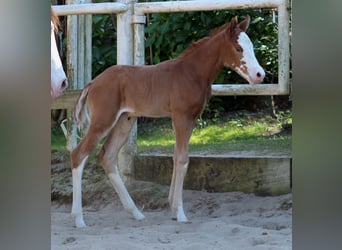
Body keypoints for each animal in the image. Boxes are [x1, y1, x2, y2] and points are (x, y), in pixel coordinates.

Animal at [71, 14, 266, 228]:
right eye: (238, 48)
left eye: (252, 47)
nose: (260, 75)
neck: (192, 72)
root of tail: (92, 83)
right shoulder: (182, 117)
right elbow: (182, 159)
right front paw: (180, 213)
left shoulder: (188, 118)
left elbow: (175, 156)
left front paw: (173, 209)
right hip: (103, 120)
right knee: (78, 154)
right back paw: (79, 219)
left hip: (125, 120)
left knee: (107, 156)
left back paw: (136, 213)